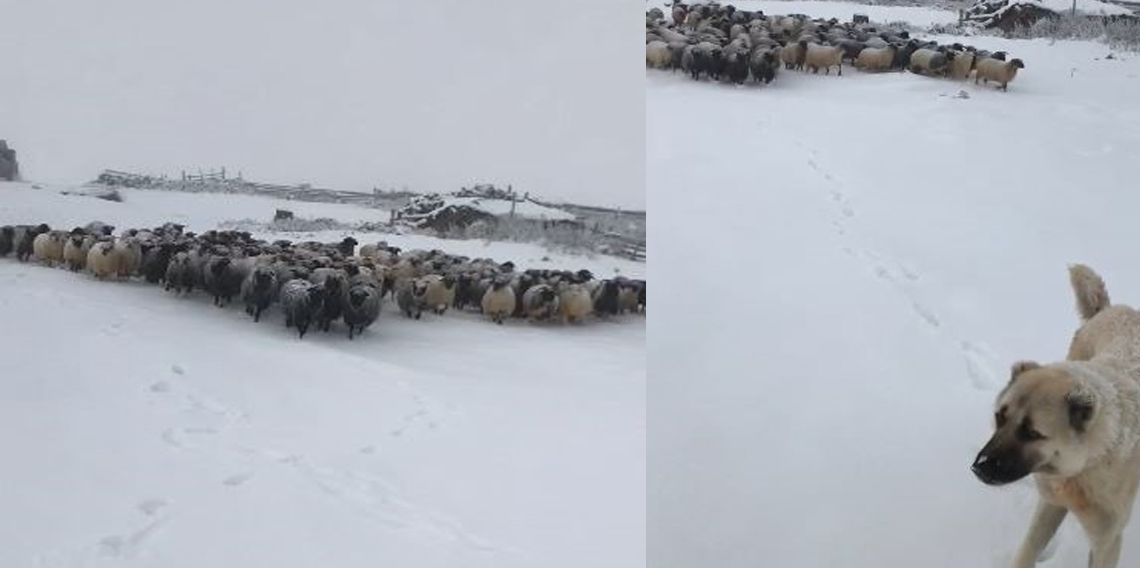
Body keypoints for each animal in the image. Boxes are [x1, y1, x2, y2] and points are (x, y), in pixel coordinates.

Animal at [971, 264, 1140, 568]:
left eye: (1032, 432)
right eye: (999, 417)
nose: (979, 467)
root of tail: (1110, 309)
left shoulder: (1107, 540)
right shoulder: (1049, 505)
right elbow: (1028, 549)